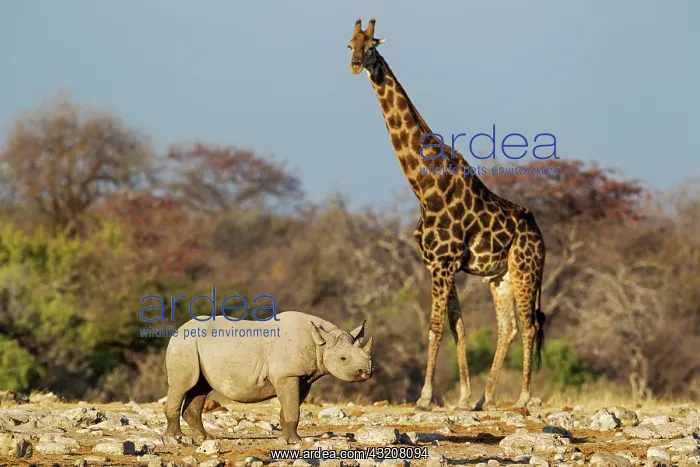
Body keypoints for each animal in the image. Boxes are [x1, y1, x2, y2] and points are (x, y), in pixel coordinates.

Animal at [163, 311, 373, 443]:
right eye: (343, 358)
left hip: (193, 346)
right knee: (182, 386)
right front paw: (293, 441)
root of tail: (178, 330)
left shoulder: (303, 378)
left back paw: (205, 438)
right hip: (184, 343)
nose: (366, 373)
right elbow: (291, 409)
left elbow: (289, 409)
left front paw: (288, 438)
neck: (320, 343)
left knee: (199, 387)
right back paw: (175, 438)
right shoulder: (287, 374)